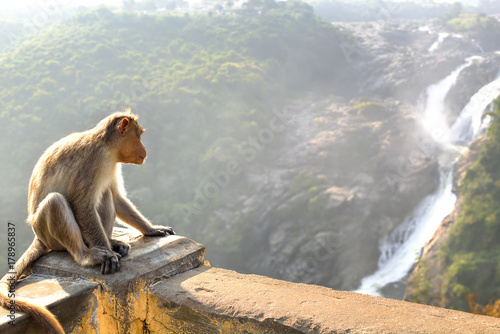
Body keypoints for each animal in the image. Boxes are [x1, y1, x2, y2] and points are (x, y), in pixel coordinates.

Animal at [0, 109, 176, 332]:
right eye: (139, 135)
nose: (144, 150)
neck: (107, 147)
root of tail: (38, 237)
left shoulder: (111, 165)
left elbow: (116, 198)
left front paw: (151, 229)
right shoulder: (93, 162)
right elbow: (82, 205)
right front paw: (108, 257)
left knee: (105, 193)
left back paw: (111, 243)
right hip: (48, 235)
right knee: (56, 202)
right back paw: (87, 255)